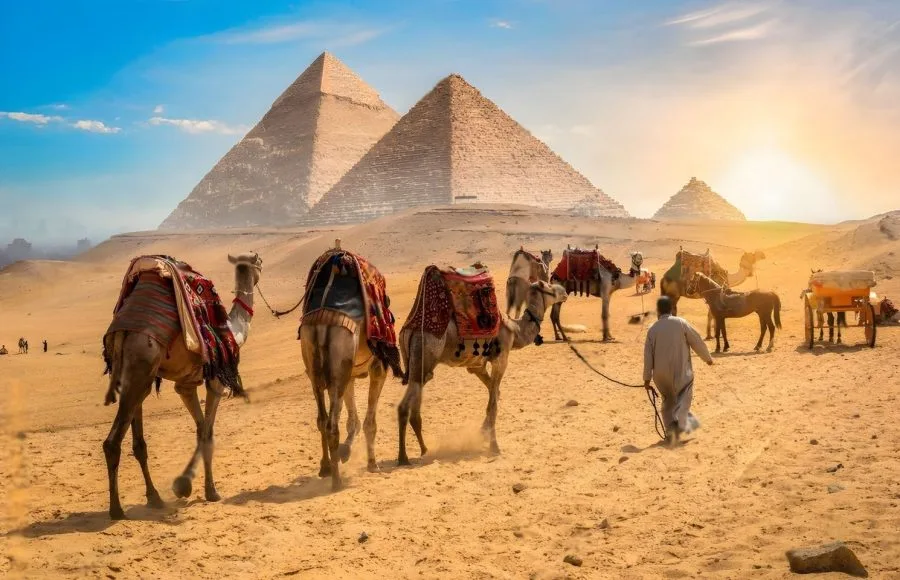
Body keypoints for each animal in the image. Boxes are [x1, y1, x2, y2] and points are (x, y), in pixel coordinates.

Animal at [101, 252, 261, 520]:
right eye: (258, 263)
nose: (260, 270)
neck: (234, 331)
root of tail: (123, 330)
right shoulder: (216, 381)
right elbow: (207, 433)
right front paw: (205, 490)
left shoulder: (185, 386)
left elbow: (200, 429)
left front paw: (187, 486)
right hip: (142, 365)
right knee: (112, 443)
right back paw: (116, 510)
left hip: (133, 376)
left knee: (138, 442)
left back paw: (154, 498)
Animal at [397, 279, 567, 464]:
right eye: (550, 287)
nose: (564, 291)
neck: (516, 330)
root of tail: (408, 331)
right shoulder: (501, 358)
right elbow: (492, 404)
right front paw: (494, 446)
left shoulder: (477, 366)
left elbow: (495, 394)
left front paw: (483, 432)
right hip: (425, 353)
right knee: (403, 407)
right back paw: (403, 457)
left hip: (418, 367)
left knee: (415, 408)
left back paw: (424, 449)